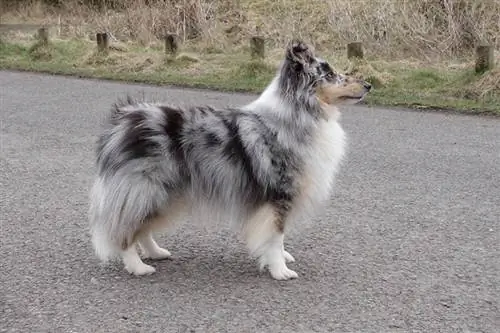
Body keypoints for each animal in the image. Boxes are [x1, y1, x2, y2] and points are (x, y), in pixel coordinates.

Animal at [88, 40, 372, 278]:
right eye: (330, 74)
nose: (369, 85)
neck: (298, 114)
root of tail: (123, 120)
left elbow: (277, 237)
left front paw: (282, 259)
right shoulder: (278, 195)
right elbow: (275, 236)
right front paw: (280, 271)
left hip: (166, 194)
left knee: (141, 227)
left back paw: (156, 253)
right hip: (147, 189)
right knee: (125, 230)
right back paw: (138, 267)